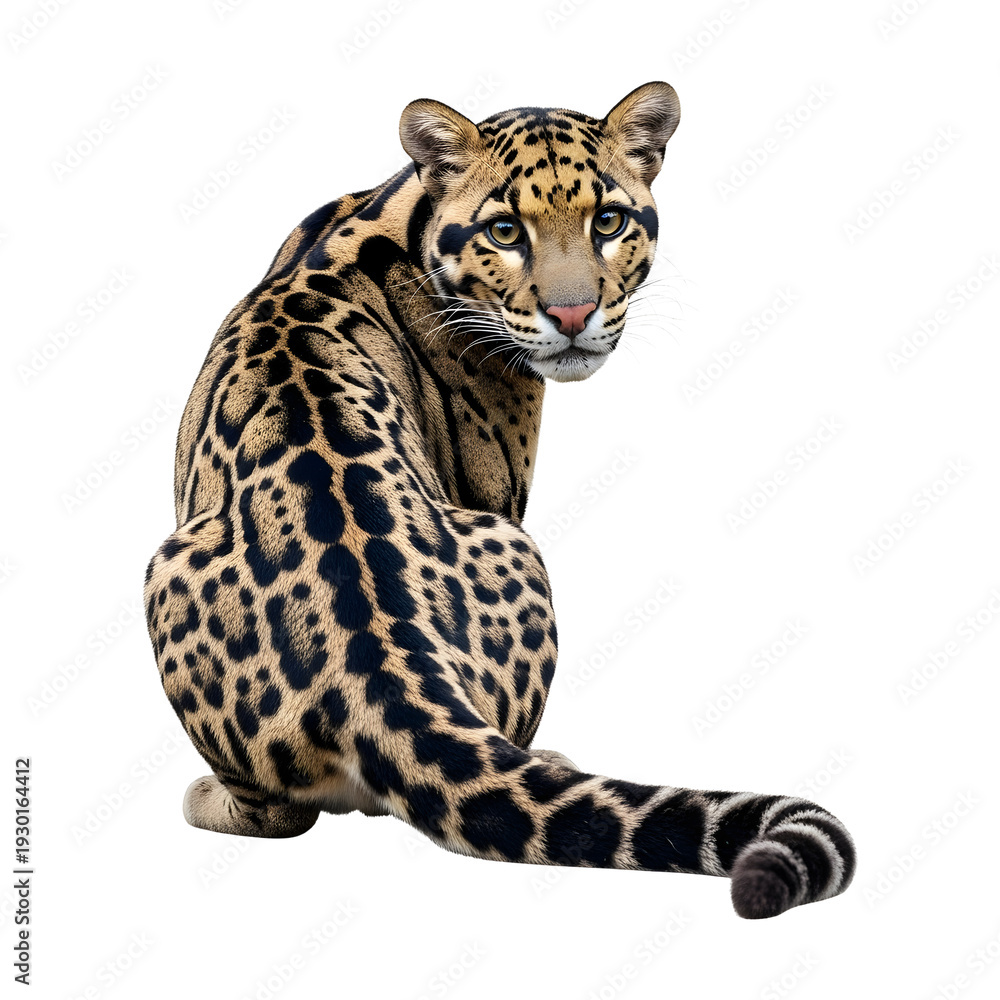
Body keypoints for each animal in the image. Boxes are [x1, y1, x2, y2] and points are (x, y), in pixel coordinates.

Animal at [144, 82, 855, 919]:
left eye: (607, 222)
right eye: (505, 230)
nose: (573, 315)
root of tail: (373, 678)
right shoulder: (500, 490)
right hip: (502, 543)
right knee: (287, 813)